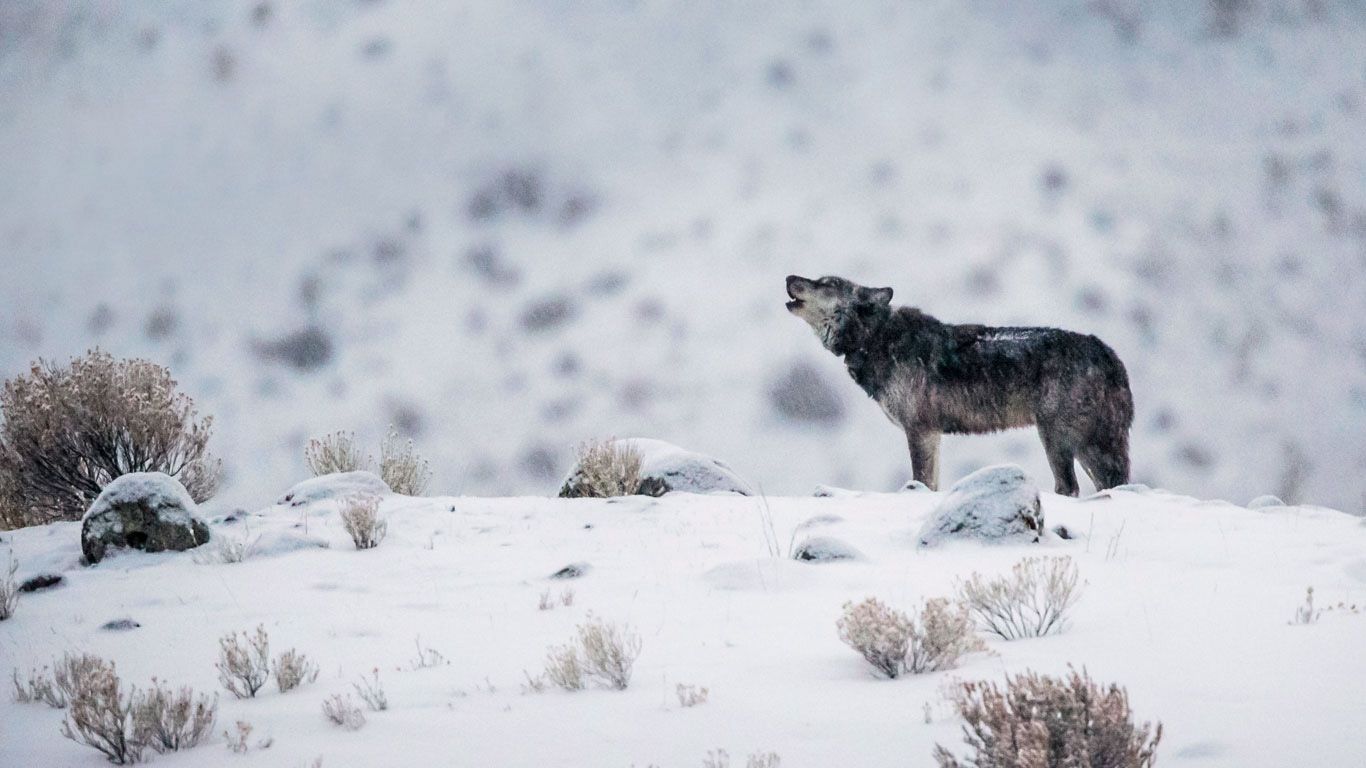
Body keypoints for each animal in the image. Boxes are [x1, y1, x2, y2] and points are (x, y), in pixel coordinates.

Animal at [785, 274, 1133, 496]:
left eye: (827, 283)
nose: (789, 277)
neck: (875, 339)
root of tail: (1108, 353)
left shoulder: (920, 430)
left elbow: (922, 481)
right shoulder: (932, 434)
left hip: (1059, 437)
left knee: (1070, 487)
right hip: (1086, 444)